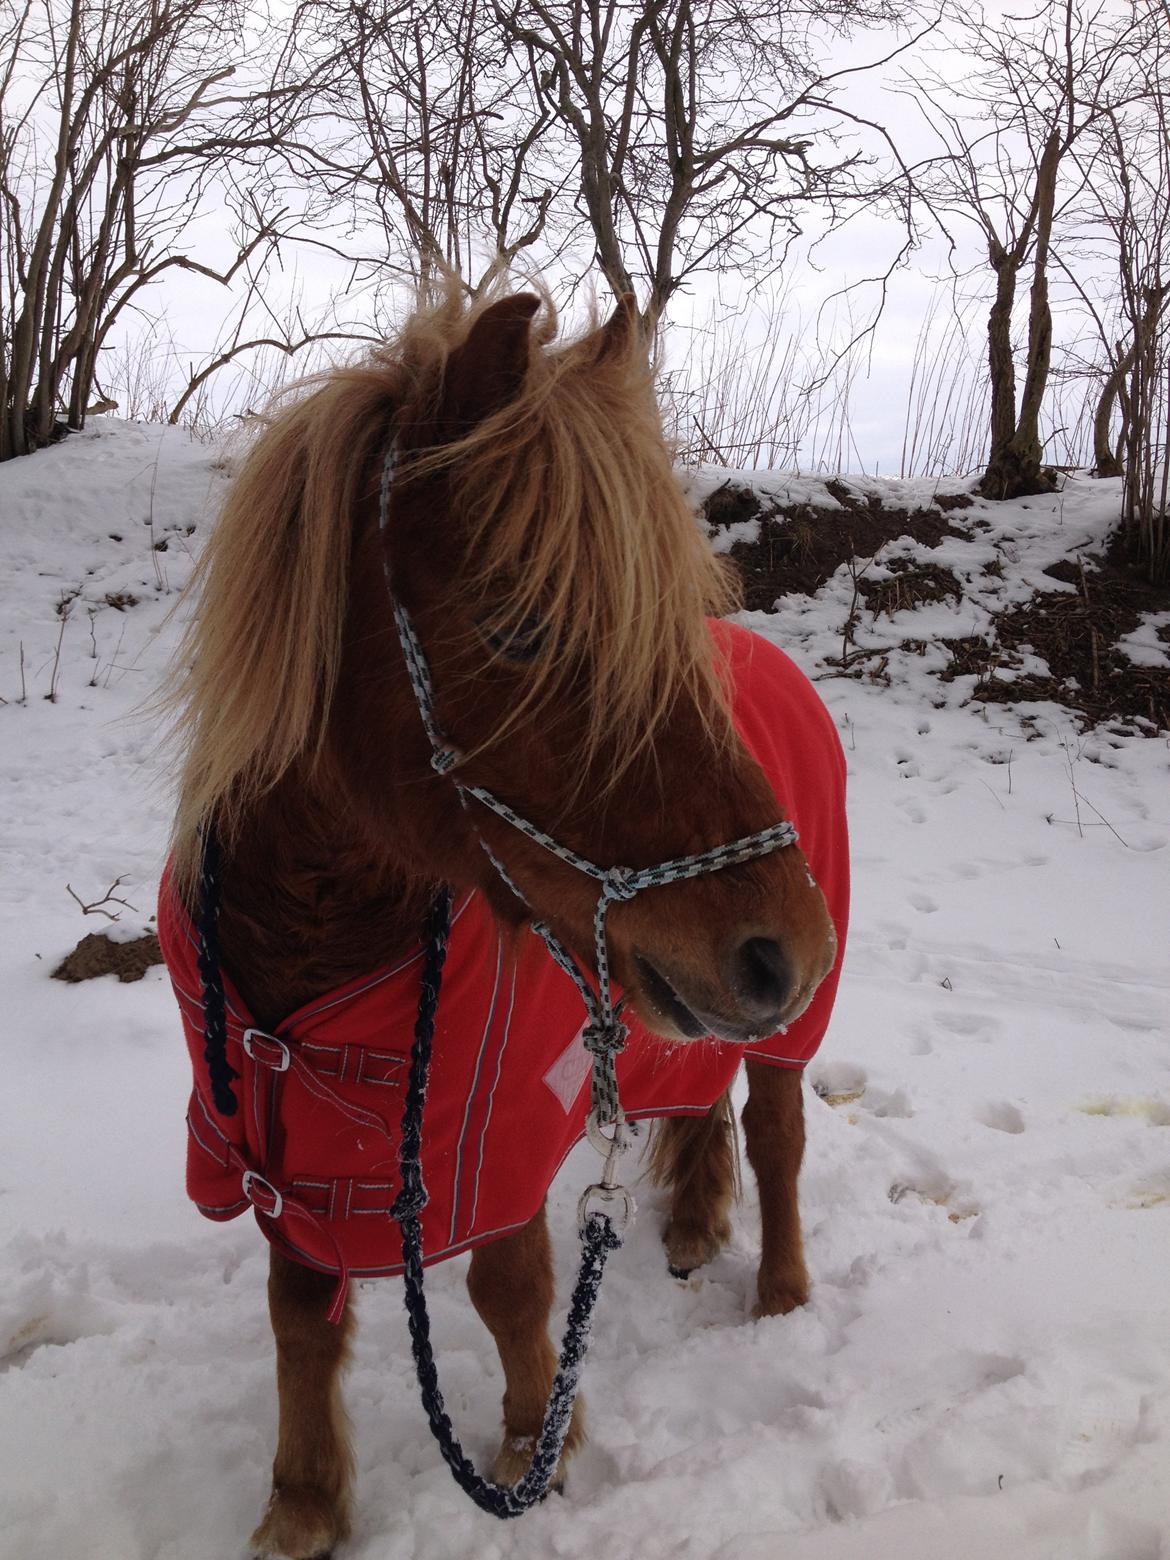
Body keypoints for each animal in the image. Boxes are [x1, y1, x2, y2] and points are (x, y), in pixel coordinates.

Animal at [165, 287, 842, 1553]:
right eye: (520, 625)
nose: (788, 946)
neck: (320, 945)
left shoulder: (495, 1137)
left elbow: (509, 1286)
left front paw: (537, 1445)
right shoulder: (279, 1157)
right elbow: (298, 1309)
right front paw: (303, 1499)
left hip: (787, 1033)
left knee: (778, 1133)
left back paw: (781, 1294)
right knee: (703, 1098)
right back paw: (691, 1222)